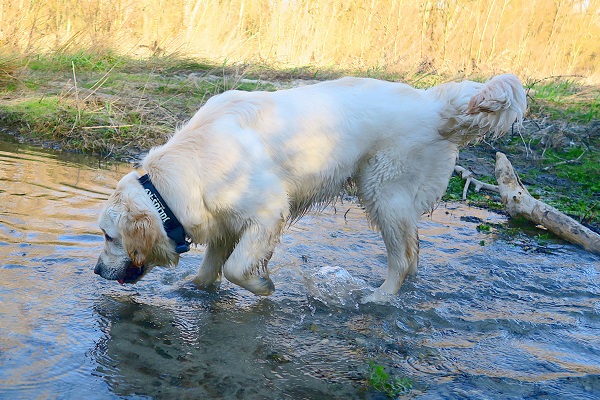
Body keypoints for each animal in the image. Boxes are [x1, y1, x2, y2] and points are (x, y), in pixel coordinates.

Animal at [94, 75, 524, 296]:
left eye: (109, 237)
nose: (97, 271)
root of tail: (435, 107)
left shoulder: (267, 213)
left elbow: (235, 268)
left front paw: (262, 286)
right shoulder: (223, 220)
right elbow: (212, 265)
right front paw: (192, 288)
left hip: (383, 192)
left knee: (402, 259)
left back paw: (379, 298)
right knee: (414, 254)